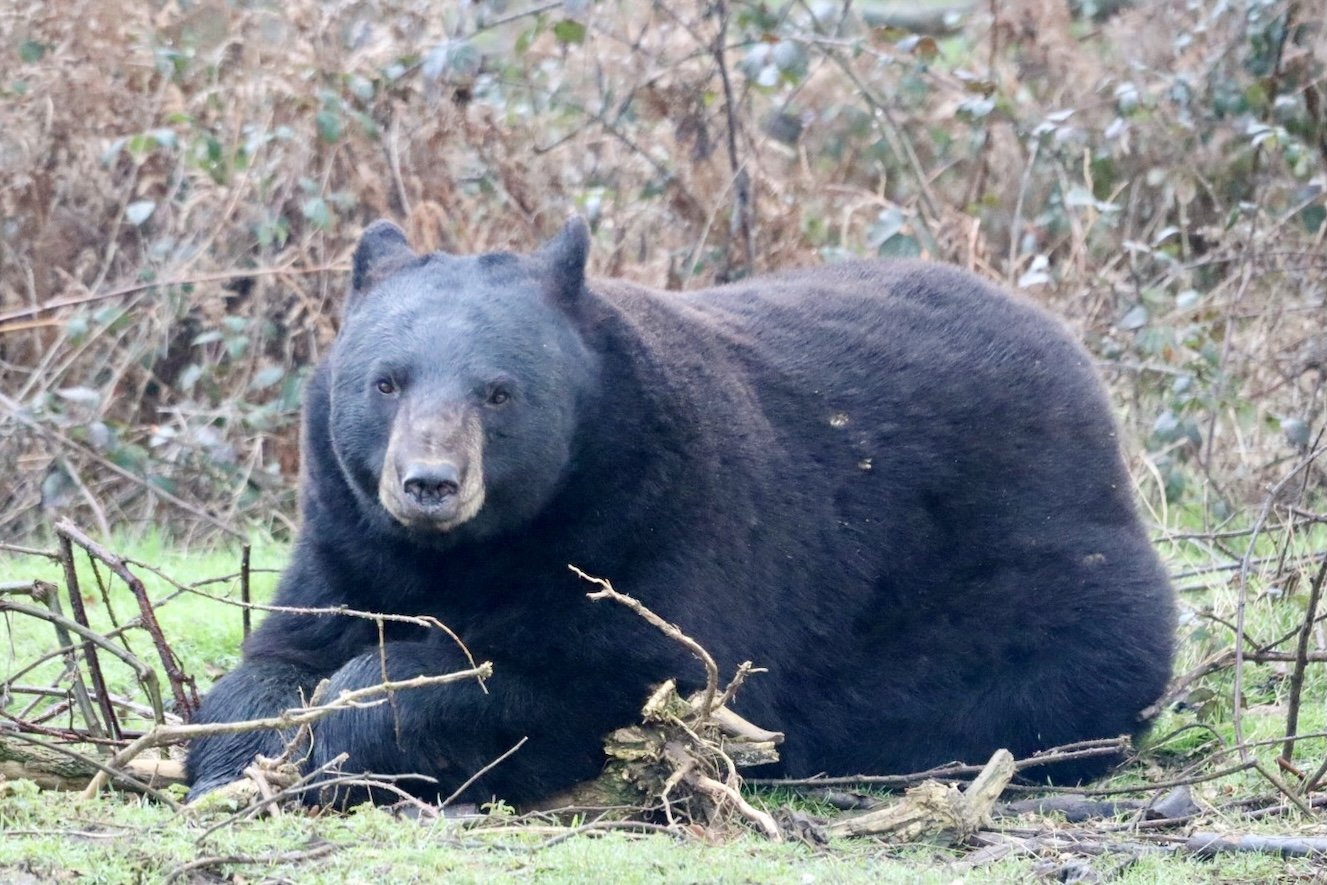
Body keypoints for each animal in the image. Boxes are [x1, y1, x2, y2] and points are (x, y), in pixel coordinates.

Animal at [186, 217, 1176, 806]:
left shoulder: (658, 527)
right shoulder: (349, 537)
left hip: (1028, 564)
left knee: (1063, 667)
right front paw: (234, 759)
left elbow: (597, 678)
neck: (475, 548)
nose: (429, 482)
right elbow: (281, 652)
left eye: (497, 392)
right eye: (385, 382)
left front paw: (344, 734)